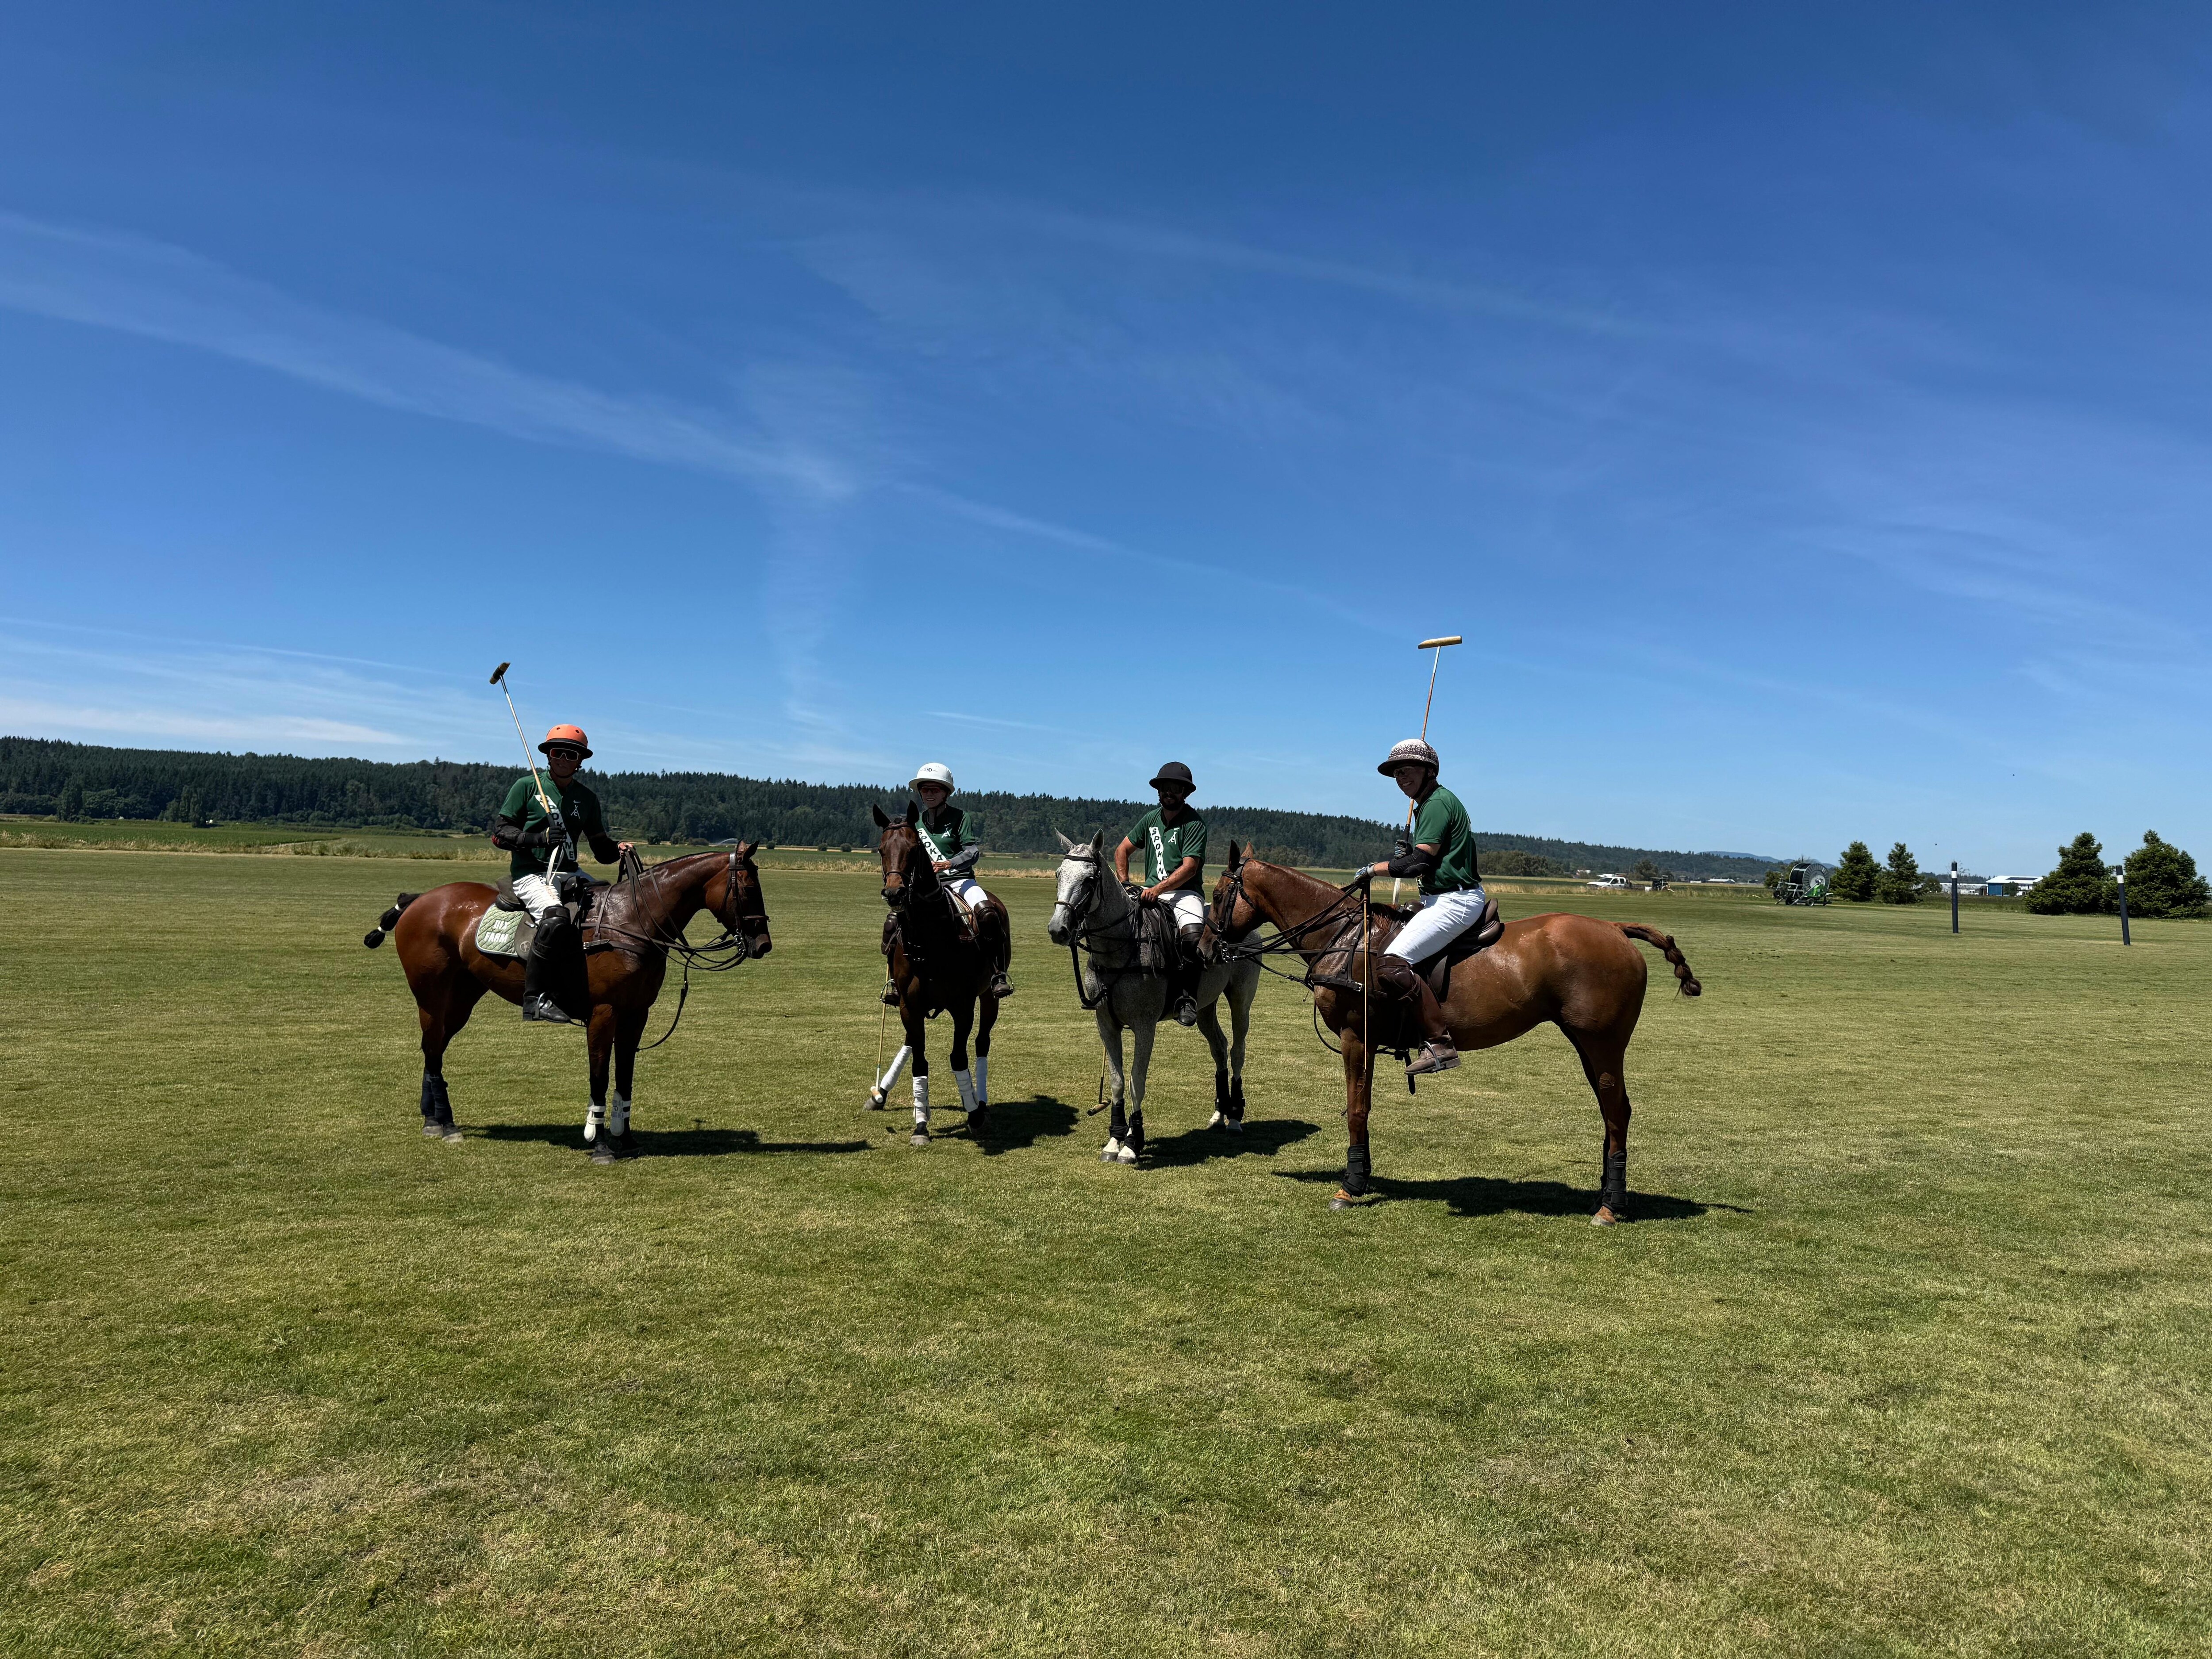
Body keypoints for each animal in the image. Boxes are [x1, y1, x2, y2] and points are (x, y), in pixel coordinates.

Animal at [362, 845, 771, 1162]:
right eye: (748, 888)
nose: (763, 945)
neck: (636, 920)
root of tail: (418, 900)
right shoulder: (604, 1012)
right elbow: (600, 1075)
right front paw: (601, 1144)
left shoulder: (636, 1013)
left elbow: (626, 1075)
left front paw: (627, 1138)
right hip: (431, 995)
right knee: (433, 1046)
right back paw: (444, 1124)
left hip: (463, 997)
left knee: (434, 1048)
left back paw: (432, 1117)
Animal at [865, 802, 1007, 1145]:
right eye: (881, 850)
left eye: (915, 849)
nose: (895, 894)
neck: (928, 937)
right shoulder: (909, 1005)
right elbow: (919, 1058)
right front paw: (920, 1126)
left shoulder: (963, 1005)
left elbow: (959, 1058)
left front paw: (974, 1115)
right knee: (909, 1044)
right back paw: (880, 1094)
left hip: (989, 996)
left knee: (982, 1042)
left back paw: (982, 1103)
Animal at [1045, 830, 1263, 1165]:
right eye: (1058, 874)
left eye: (1090, 879)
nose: (1058, 929)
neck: (1121, 946)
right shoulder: (1105, 1023)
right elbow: (1118, 1080)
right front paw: (1114, 1140)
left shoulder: (1145, 1025)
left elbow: (1137, 1080)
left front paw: (1133, 1144)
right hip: (1205, 1006)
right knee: (1219, 1046)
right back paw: (1220, 1113)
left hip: (1241, 997)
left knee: (1238, 1049)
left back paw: (1236, 1117)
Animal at [1202, 843, 1699, 1222]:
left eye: (1220, 892)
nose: (1204, 948)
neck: (1342, 938)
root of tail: (1616, 928)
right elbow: (1362, 1107)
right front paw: (1361, 1178)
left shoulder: (1355, 1035)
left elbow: (1356, 1110)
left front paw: (1350, 1186)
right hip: (1585, 1042)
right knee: (1610, 1110)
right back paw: (1605, 1196)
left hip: (1603, 1041)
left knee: (1617, 1111)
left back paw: (1611, 1208)